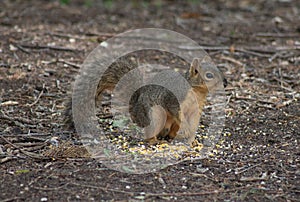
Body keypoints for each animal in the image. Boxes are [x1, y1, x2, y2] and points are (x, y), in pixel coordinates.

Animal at [65, 56, 225, 145]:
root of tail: (135, 103)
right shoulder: (175, 98)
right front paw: (186, 130)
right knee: (150, 132)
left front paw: (193, 139)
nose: (226, 82)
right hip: (154, 115)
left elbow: (194, 122)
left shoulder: (195, 109)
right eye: (209, 75)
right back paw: (154, 140)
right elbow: (177, 112)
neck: (196, 91)